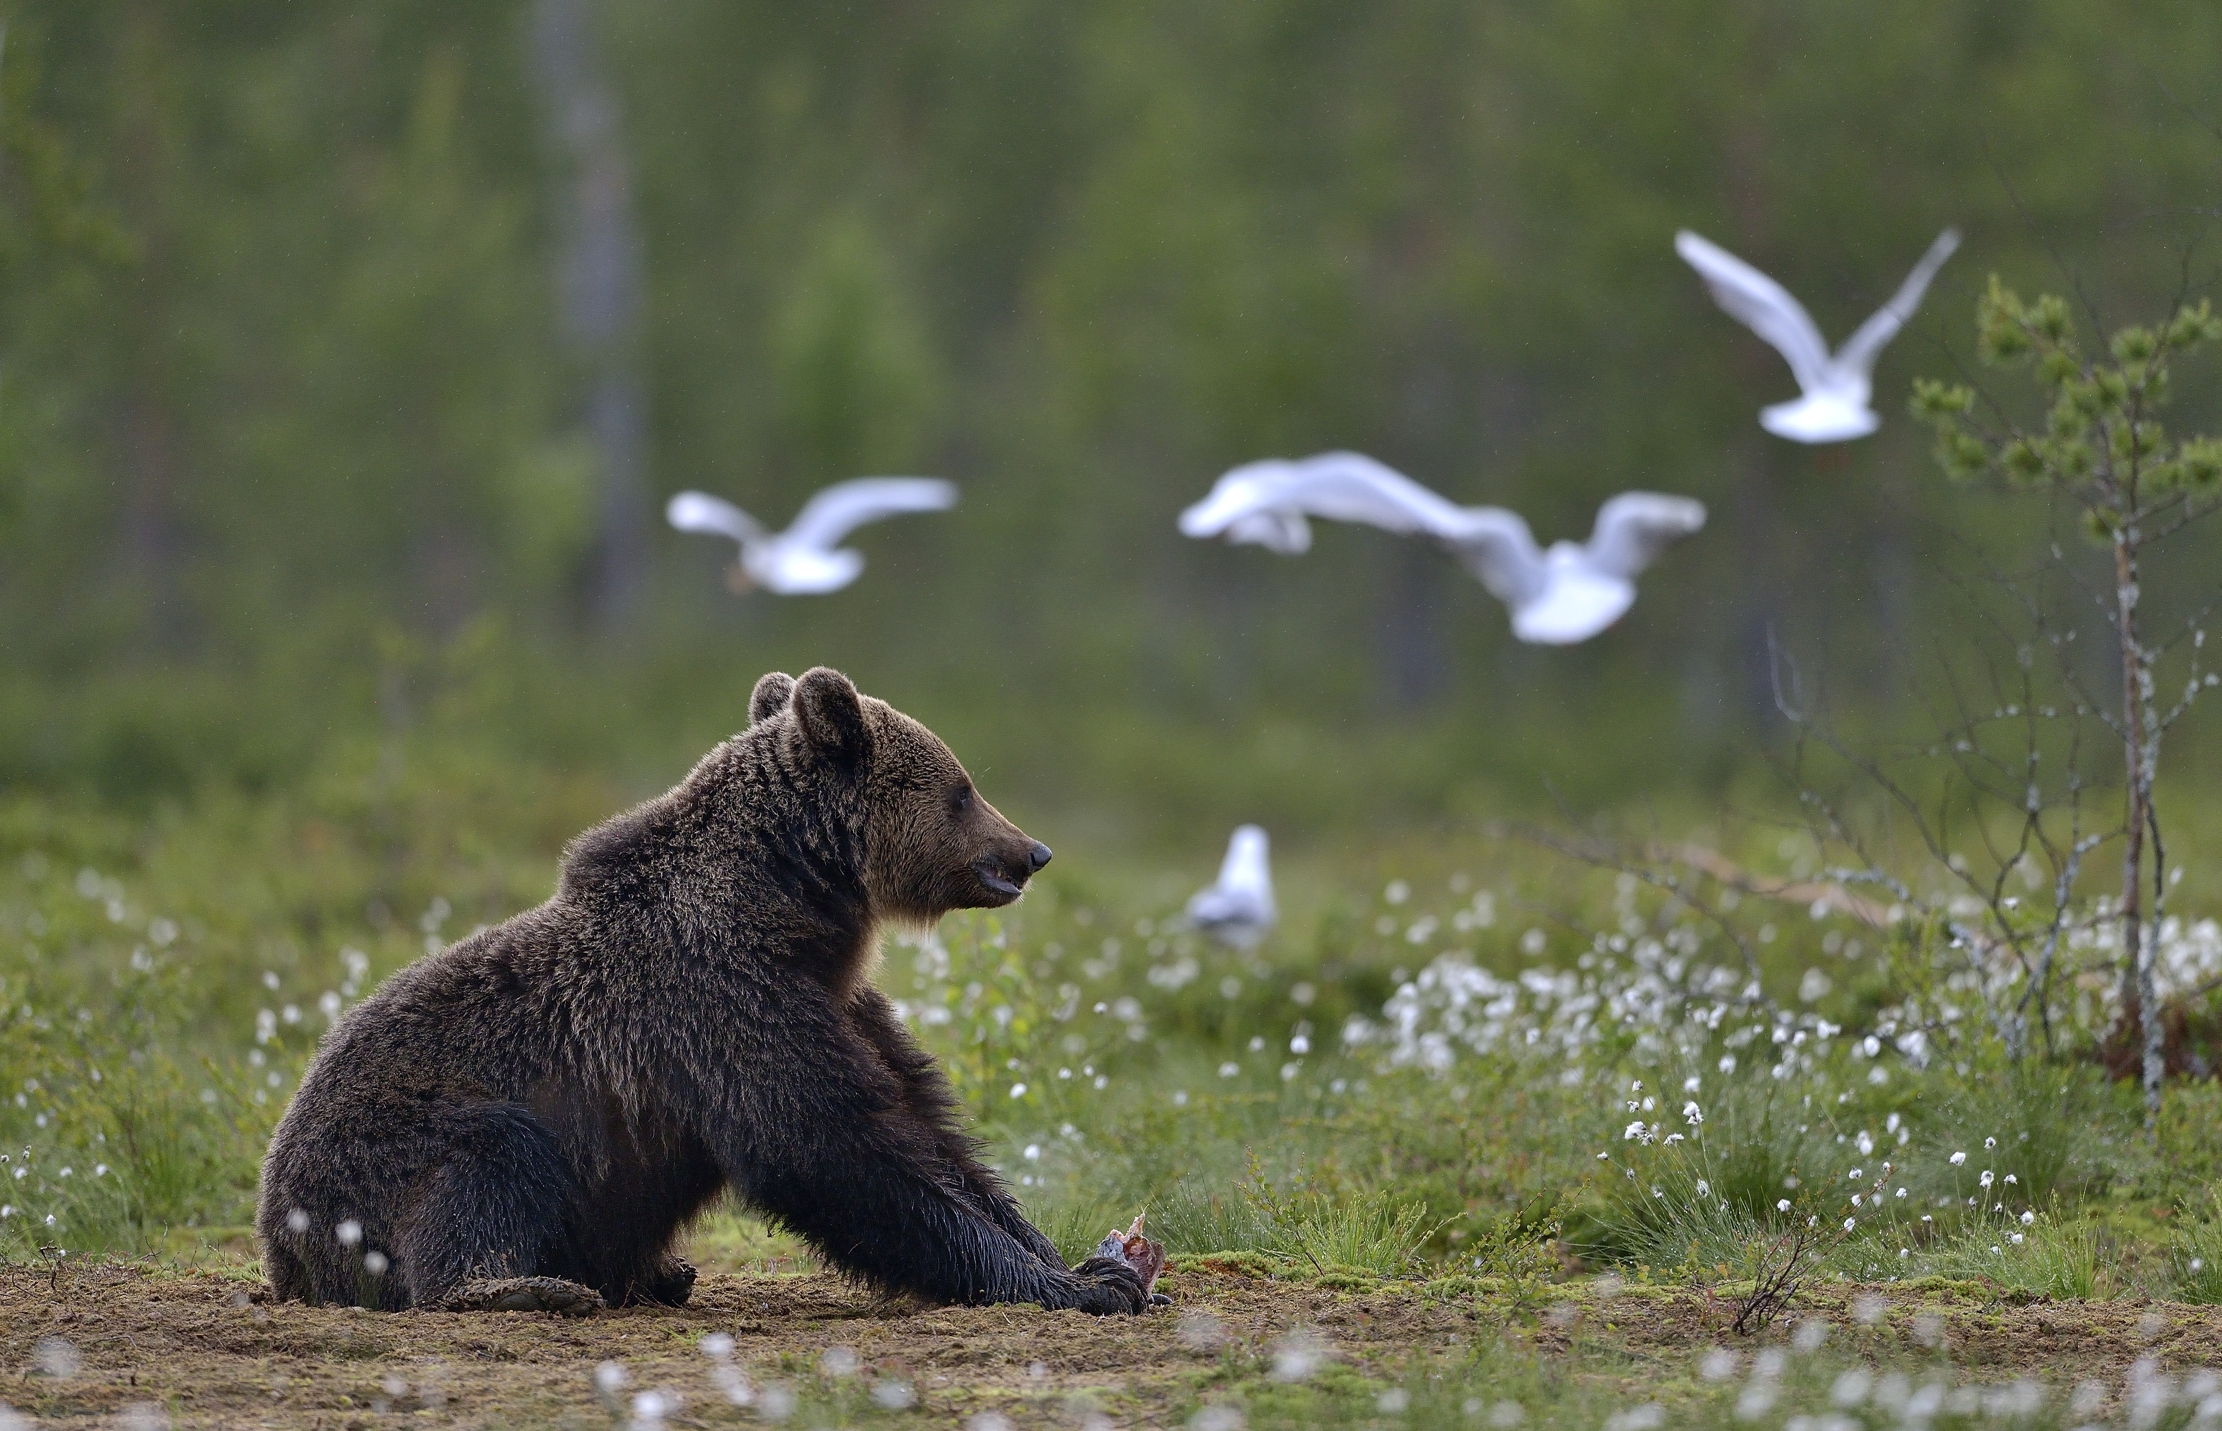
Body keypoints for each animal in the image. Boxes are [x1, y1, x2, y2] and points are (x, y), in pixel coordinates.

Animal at [255, 671, 1146, 1315]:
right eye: (961, 787)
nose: (1032, 851)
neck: (793, 907)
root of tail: (280, 1241)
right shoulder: (717, 1000)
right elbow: (830, 1145)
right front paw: (1079, 1286)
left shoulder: (837, 1001)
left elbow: (932, 1132)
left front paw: (1096, 1262)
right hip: (380, 1151)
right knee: (486, 1160)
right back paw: (522, 1285)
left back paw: (656, 1273)